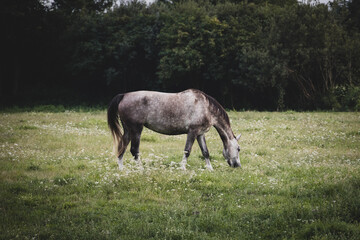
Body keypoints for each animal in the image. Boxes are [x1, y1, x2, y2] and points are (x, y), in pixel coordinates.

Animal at [107, 88, 242, 171]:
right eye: (239, 149)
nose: (238, 165)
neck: (205, 107)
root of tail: (124, 96)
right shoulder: (192, 132)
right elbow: (187, 150)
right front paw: (182, 168)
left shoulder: (200, 134)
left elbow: (205, 152)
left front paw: (210, 169)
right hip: (136, 129)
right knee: (134, 150)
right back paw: (141, 169)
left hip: (128, 130)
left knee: (122, 148)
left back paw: (122, 169)